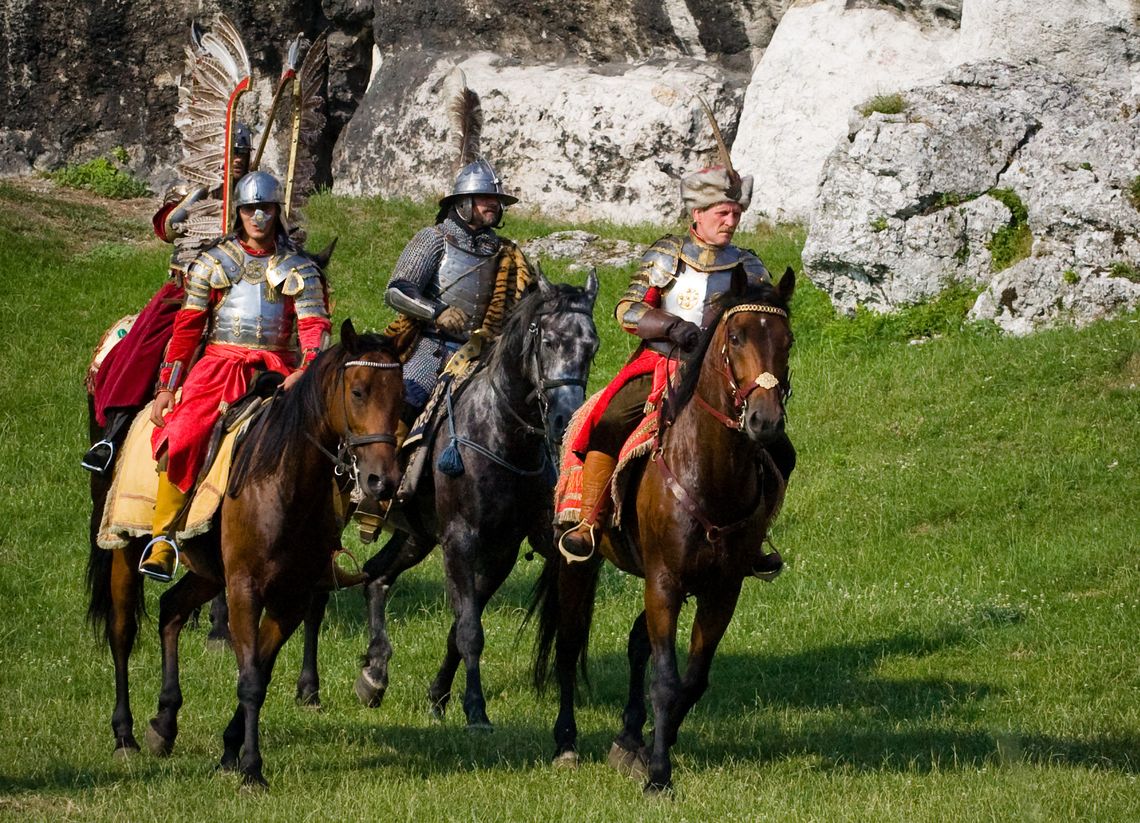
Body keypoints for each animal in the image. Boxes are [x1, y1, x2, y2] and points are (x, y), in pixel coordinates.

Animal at [83, 316, 401, 784]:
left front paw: (231, 751)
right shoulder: (245, 588)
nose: (383, 481)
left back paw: (164, 723)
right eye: (358, 391)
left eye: (400, 395)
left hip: (208, 571)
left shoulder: (290, 595)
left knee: (171, 609)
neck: (283, 481)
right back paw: (125, 736)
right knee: (121, 631)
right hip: (127, 549)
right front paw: (251, 768)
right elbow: (249, 675)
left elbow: (260, 673)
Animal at [531, 265, 793, 793]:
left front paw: (655, 745)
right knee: (568, 647)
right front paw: (658, 776)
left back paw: (629, 738)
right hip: (578, 564)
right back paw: (566, 744)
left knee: (636, 644)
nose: (764, 421)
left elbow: (691, 680)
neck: (708, 473)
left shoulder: (721, 589)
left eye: (787, 340)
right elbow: (667, 679)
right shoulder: (665, 581)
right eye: (736, 336)